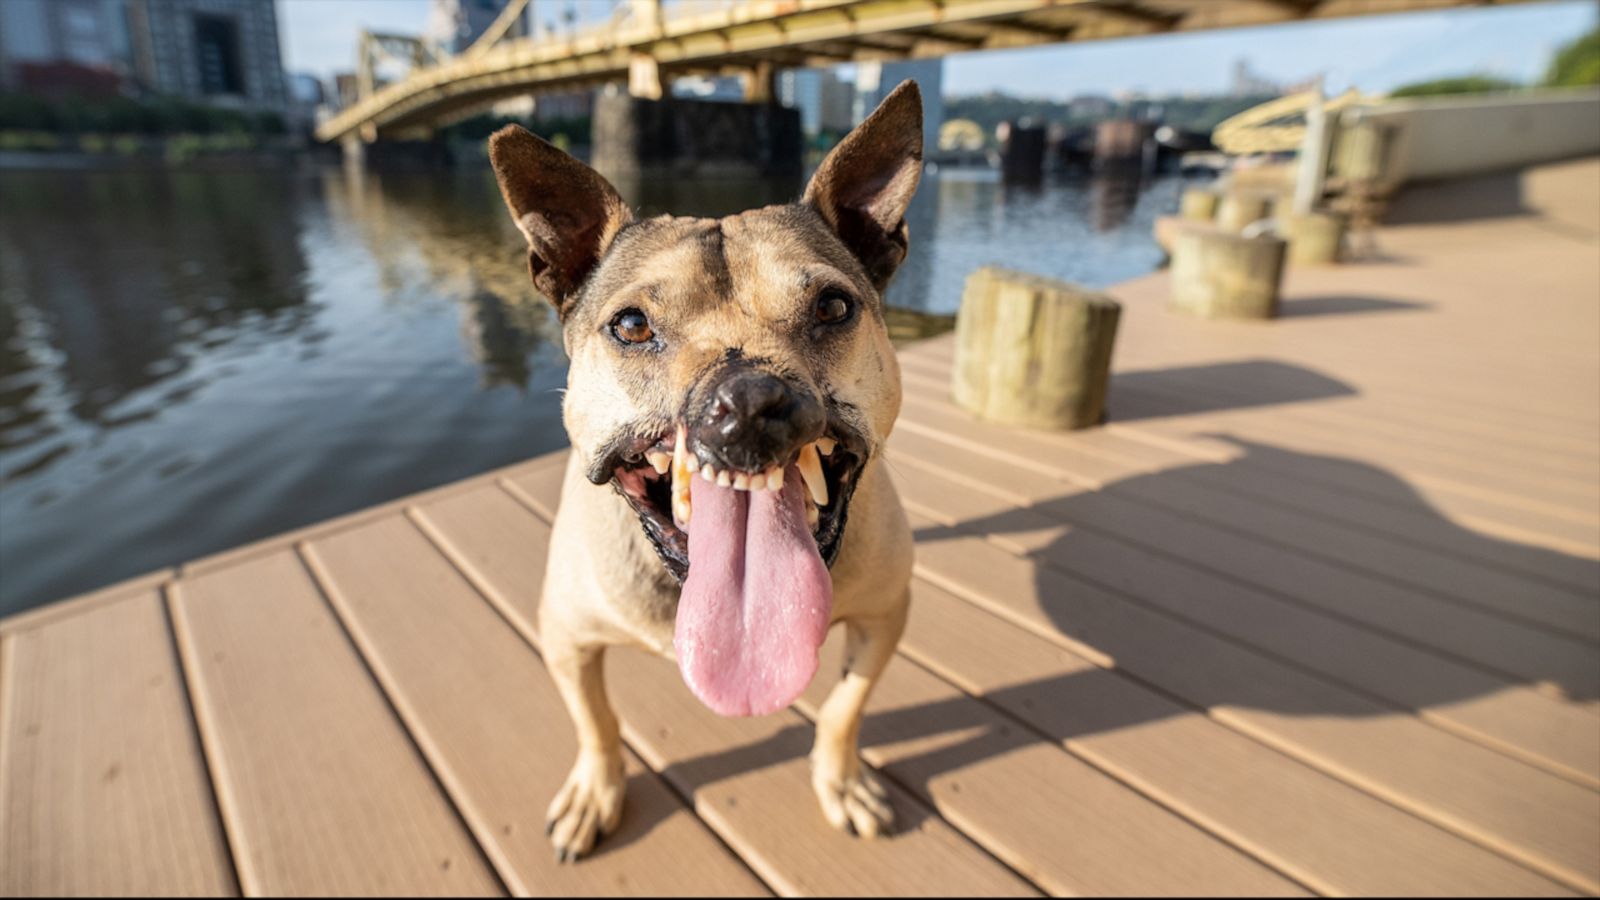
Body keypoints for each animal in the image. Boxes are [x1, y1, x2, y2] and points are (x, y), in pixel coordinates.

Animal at [483, 82, 915, 851]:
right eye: (631, 326)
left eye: (834, 306)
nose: (749, 401)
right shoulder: (567, 640)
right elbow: (596, 722)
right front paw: (596, 791)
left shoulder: (885, 617)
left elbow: (845, 707)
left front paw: (841, 779)